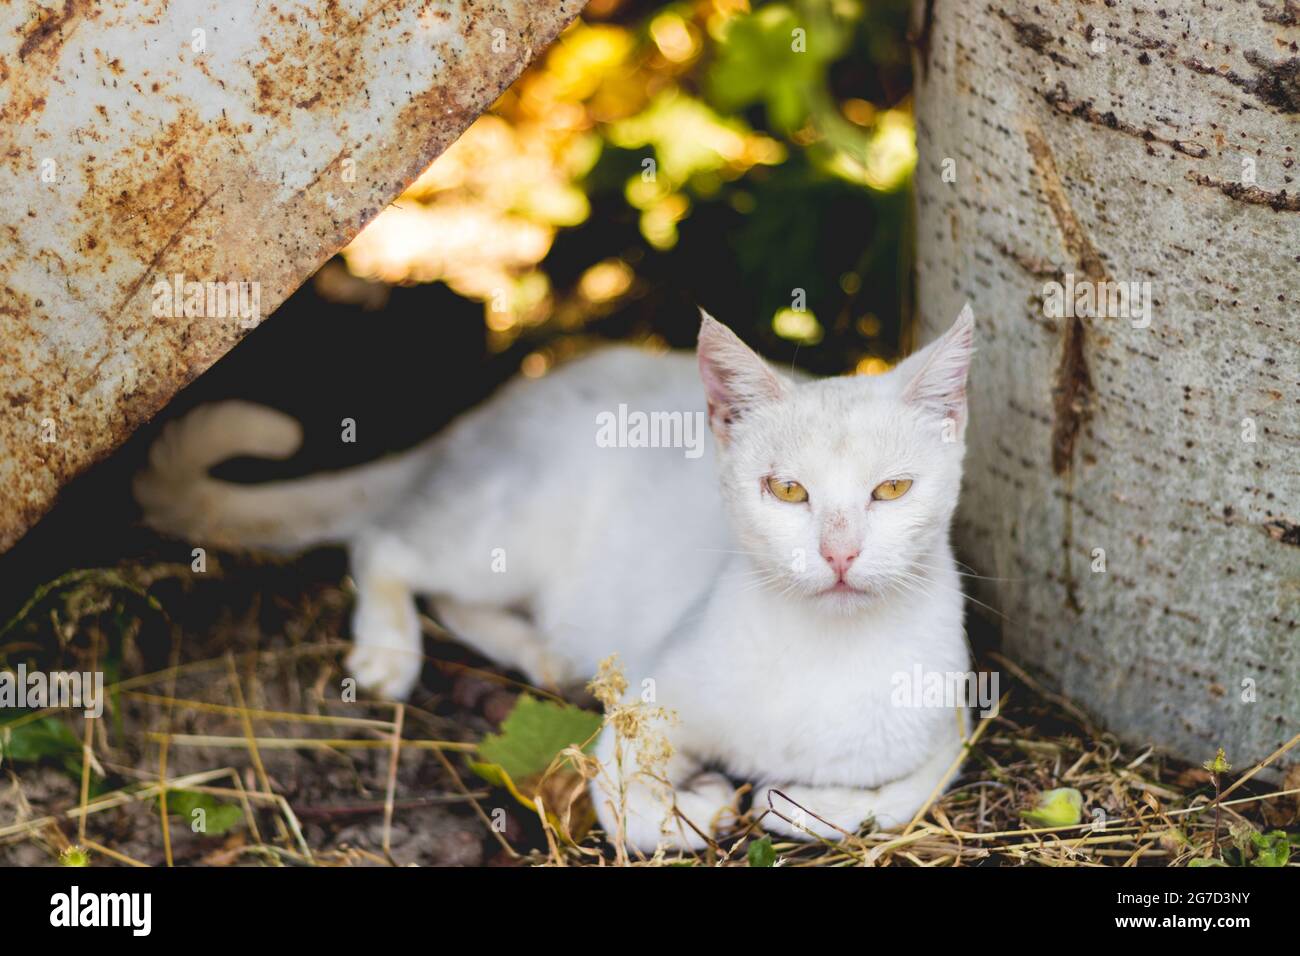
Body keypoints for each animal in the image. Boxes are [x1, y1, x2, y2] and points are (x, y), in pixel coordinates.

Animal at [139, 306, 977, 853]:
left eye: (891, 491)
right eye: (789, 491)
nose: (839, 553)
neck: (825, 653)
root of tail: (497, 406)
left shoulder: (956, 720)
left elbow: (910, 791)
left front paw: (793, 799)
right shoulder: (645, 711)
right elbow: (626, 809)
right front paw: (705, 805)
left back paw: (543, 655)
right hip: (513, 528)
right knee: (387, 545)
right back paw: (389, 650)